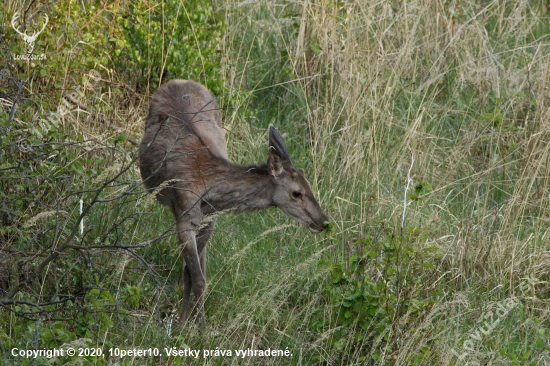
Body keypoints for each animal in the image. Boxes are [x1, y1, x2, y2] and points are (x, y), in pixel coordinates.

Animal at [139, 79, 328, 324]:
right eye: (297, 193)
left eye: (310, 185)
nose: (324, 221)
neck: (207, 183)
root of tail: (179, 81)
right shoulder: (184, 216)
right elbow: (195, 276)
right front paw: (192, 326)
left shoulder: (210, 219)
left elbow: (192, 274)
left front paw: (190, 322)